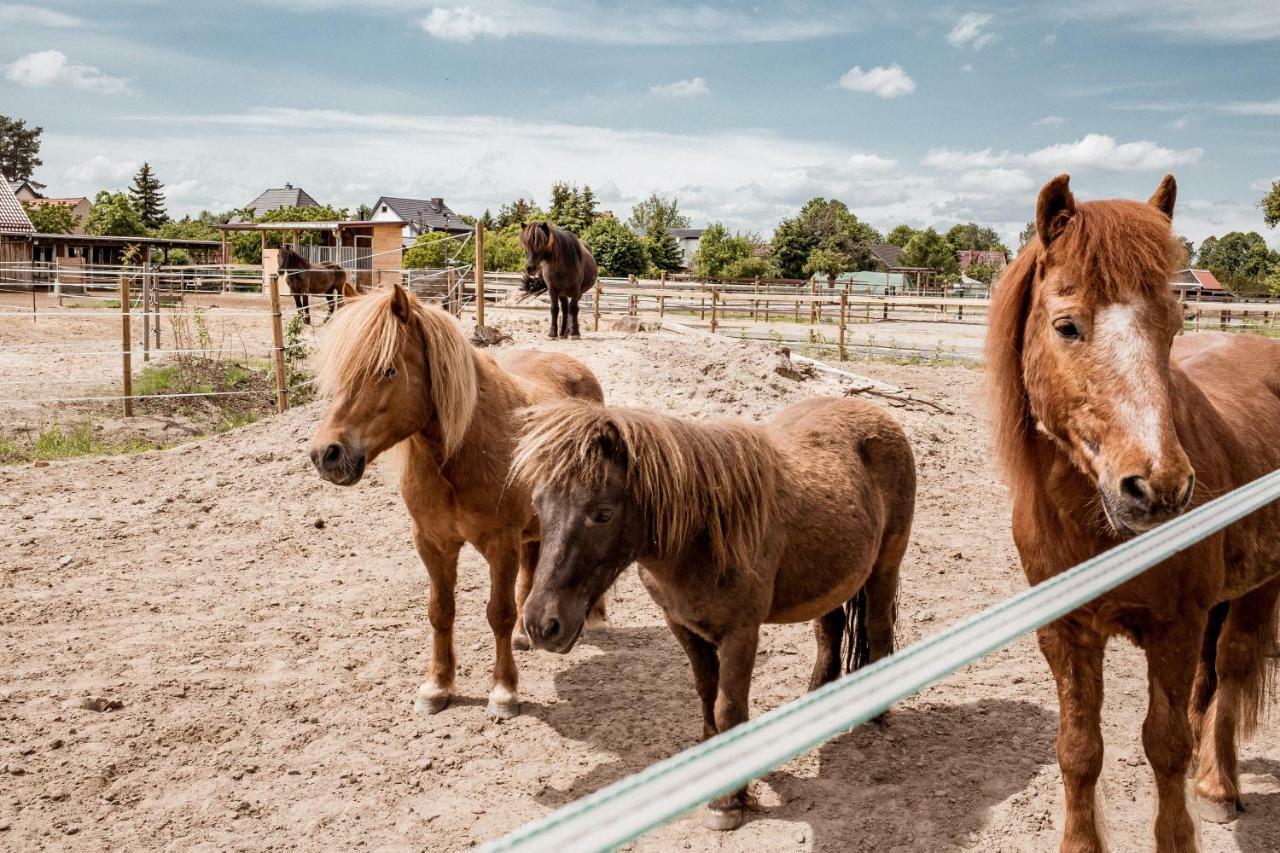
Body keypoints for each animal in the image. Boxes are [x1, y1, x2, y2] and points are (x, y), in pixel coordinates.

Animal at [312, 285, 606, 717]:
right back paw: (526, 635)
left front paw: (504, 691)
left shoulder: (500, 545)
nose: (326, 454)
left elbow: (499, 614)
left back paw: (595, 618)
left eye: (388, 371)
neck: (460, 450)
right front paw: (437, 685)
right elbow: (440, 612)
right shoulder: (433, 543)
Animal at [988, 172, 1280, 850]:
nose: (1161, 489)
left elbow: (1165, 746)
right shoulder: (1065, 633)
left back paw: (1218, 786)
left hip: (1261, 586)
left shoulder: (1175, 626)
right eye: (1067, 326)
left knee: (1232, 667)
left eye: (1173, 324)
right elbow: (1078, 749)